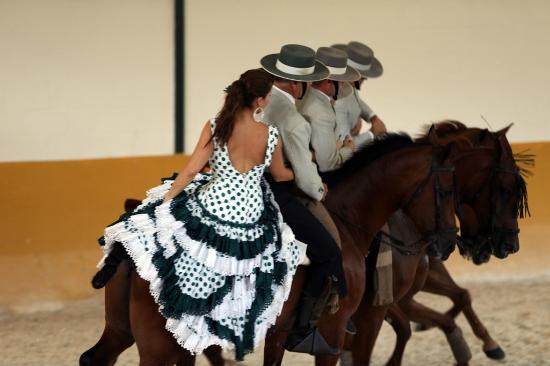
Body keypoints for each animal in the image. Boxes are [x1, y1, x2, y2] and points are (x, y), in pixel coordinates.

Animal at [81, 127, 462, 364]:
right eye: (446, 192)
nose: (448, 243)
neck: (346, 217)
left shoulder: (279, 332)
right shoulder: (334, 333)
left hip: (124, 330)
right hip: (159, 345)